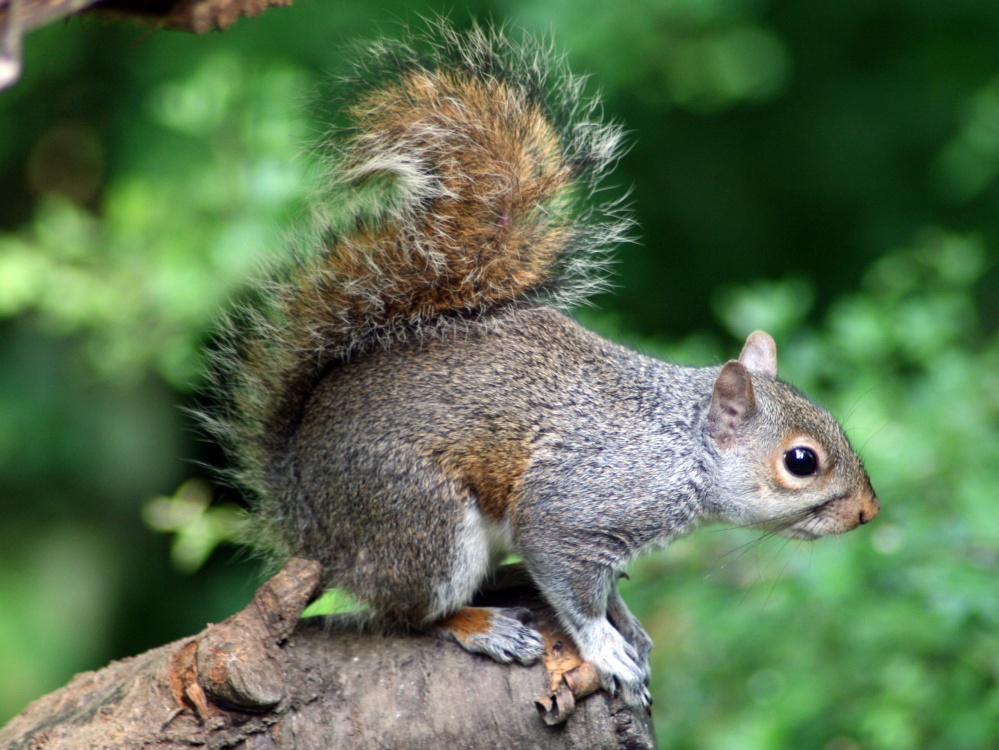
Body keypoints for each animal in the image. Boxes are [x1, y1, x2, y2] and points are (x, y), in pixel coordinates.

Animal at [207, 23, 880, 712]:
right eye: (801, 461)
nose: (868, 513)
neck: (678, 446)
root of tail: (308, 517)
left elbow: (605, 589)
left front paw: (630, 626)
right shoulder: (571, 508)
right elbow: (571, 590)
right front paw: (608, 649)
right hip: (420, 520)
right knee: (406, 612)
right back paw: (482, 625)